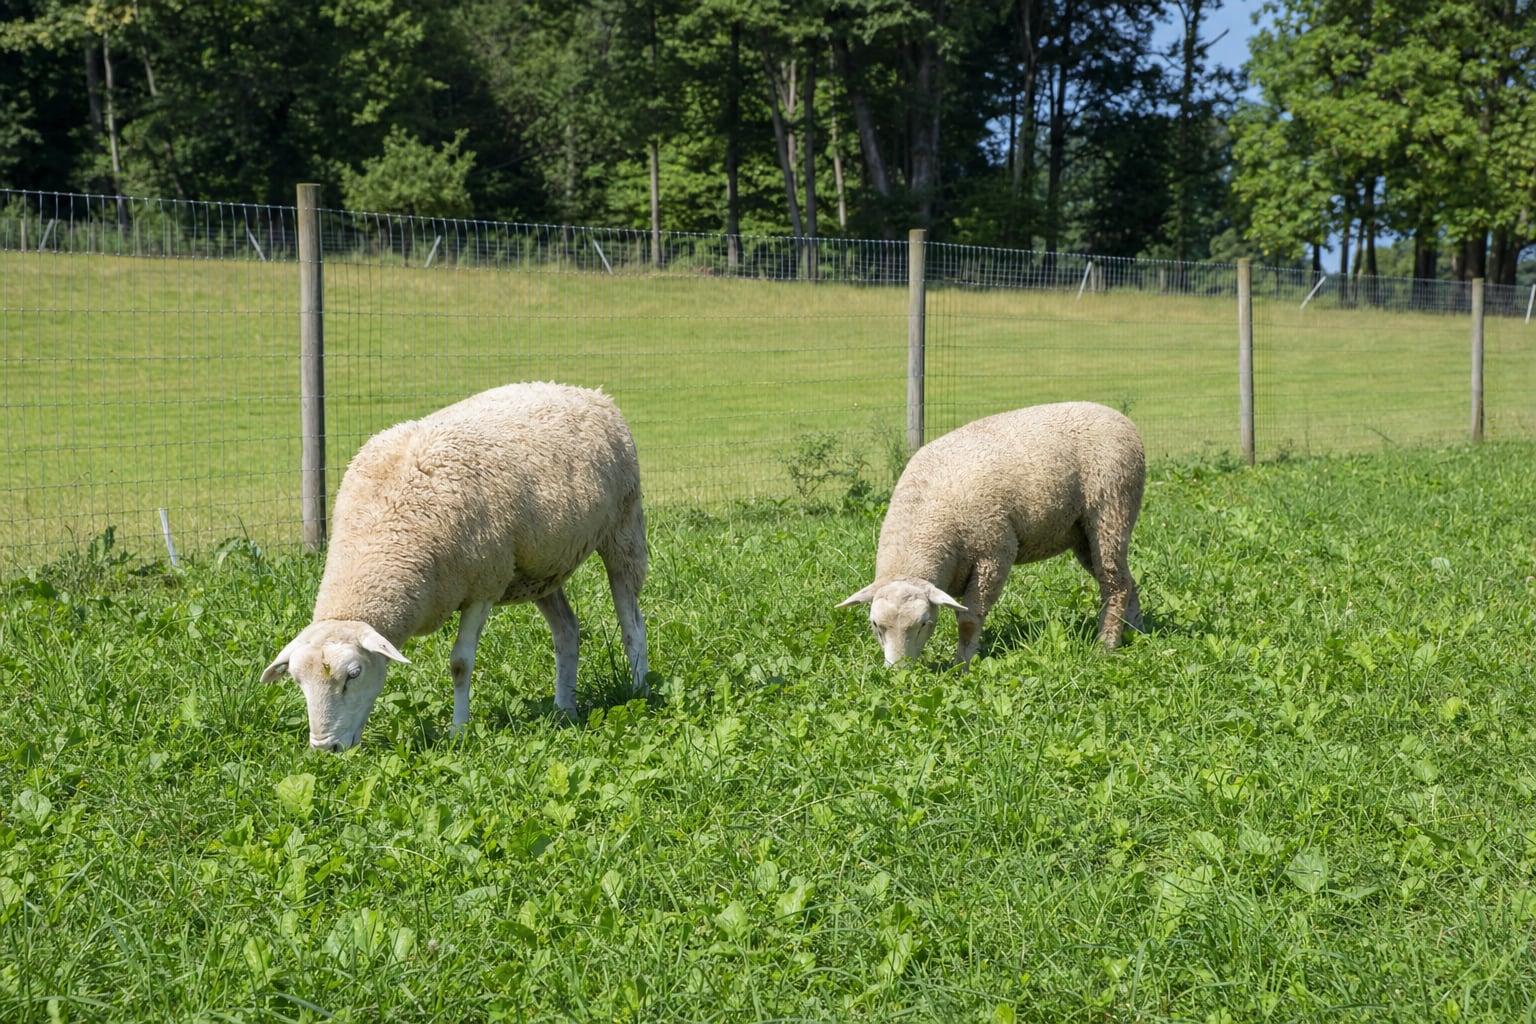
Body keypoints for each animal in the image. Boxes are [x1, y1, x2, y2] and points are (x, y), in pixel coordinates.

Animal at [261, 382, 649, 751]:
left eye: (353, 675)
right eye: (298, 682)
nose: (325, 748)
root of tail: (588, 393)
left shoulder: (483, 587)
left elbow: (460, 664)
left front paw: (459, 730)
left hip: (623, 527)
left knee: (632, 622)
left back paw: (639, 691)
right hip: (538, 570)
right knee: (567, 630)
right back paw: (564, 709)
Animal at [838, 401, 1144, 666]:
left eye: (924, 623)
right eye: (875, 625)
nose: (897, 671)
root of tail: (1121, 418)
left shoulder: (994, 554)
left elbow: (969, 621)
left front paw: (961, 665)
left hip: (1111, 510)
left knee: (1115, 584)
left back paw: (1106, 644)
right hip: (1083, 534)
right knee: (1128, 581)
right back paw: (1135, 631)